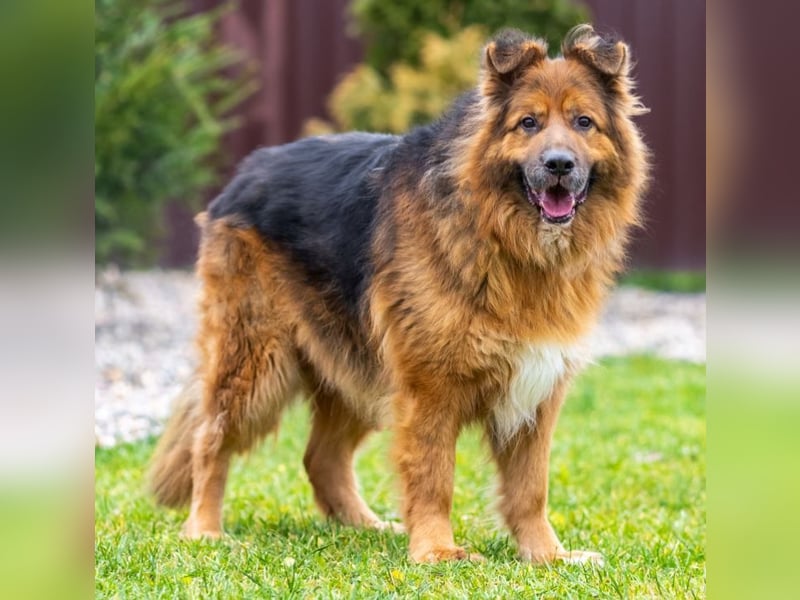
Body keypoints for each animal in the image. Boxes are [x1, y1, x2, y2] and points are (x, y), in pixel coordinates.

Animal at [149, 24, 649, 564]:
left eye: (584, 123)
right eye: (529, 123)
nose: (559, 165)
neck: (503, 238)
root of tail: (243, 175)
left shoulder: (535, 390)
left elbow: (530, 489)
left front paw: (547, 556)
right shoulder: (428, 388)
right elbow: (433, 476)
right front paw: (436, 551)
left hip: (357, 367)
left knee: (320, 457)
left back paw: (363, 526)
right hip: (255, 362)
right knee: (210, 440)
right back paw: (205, 529)